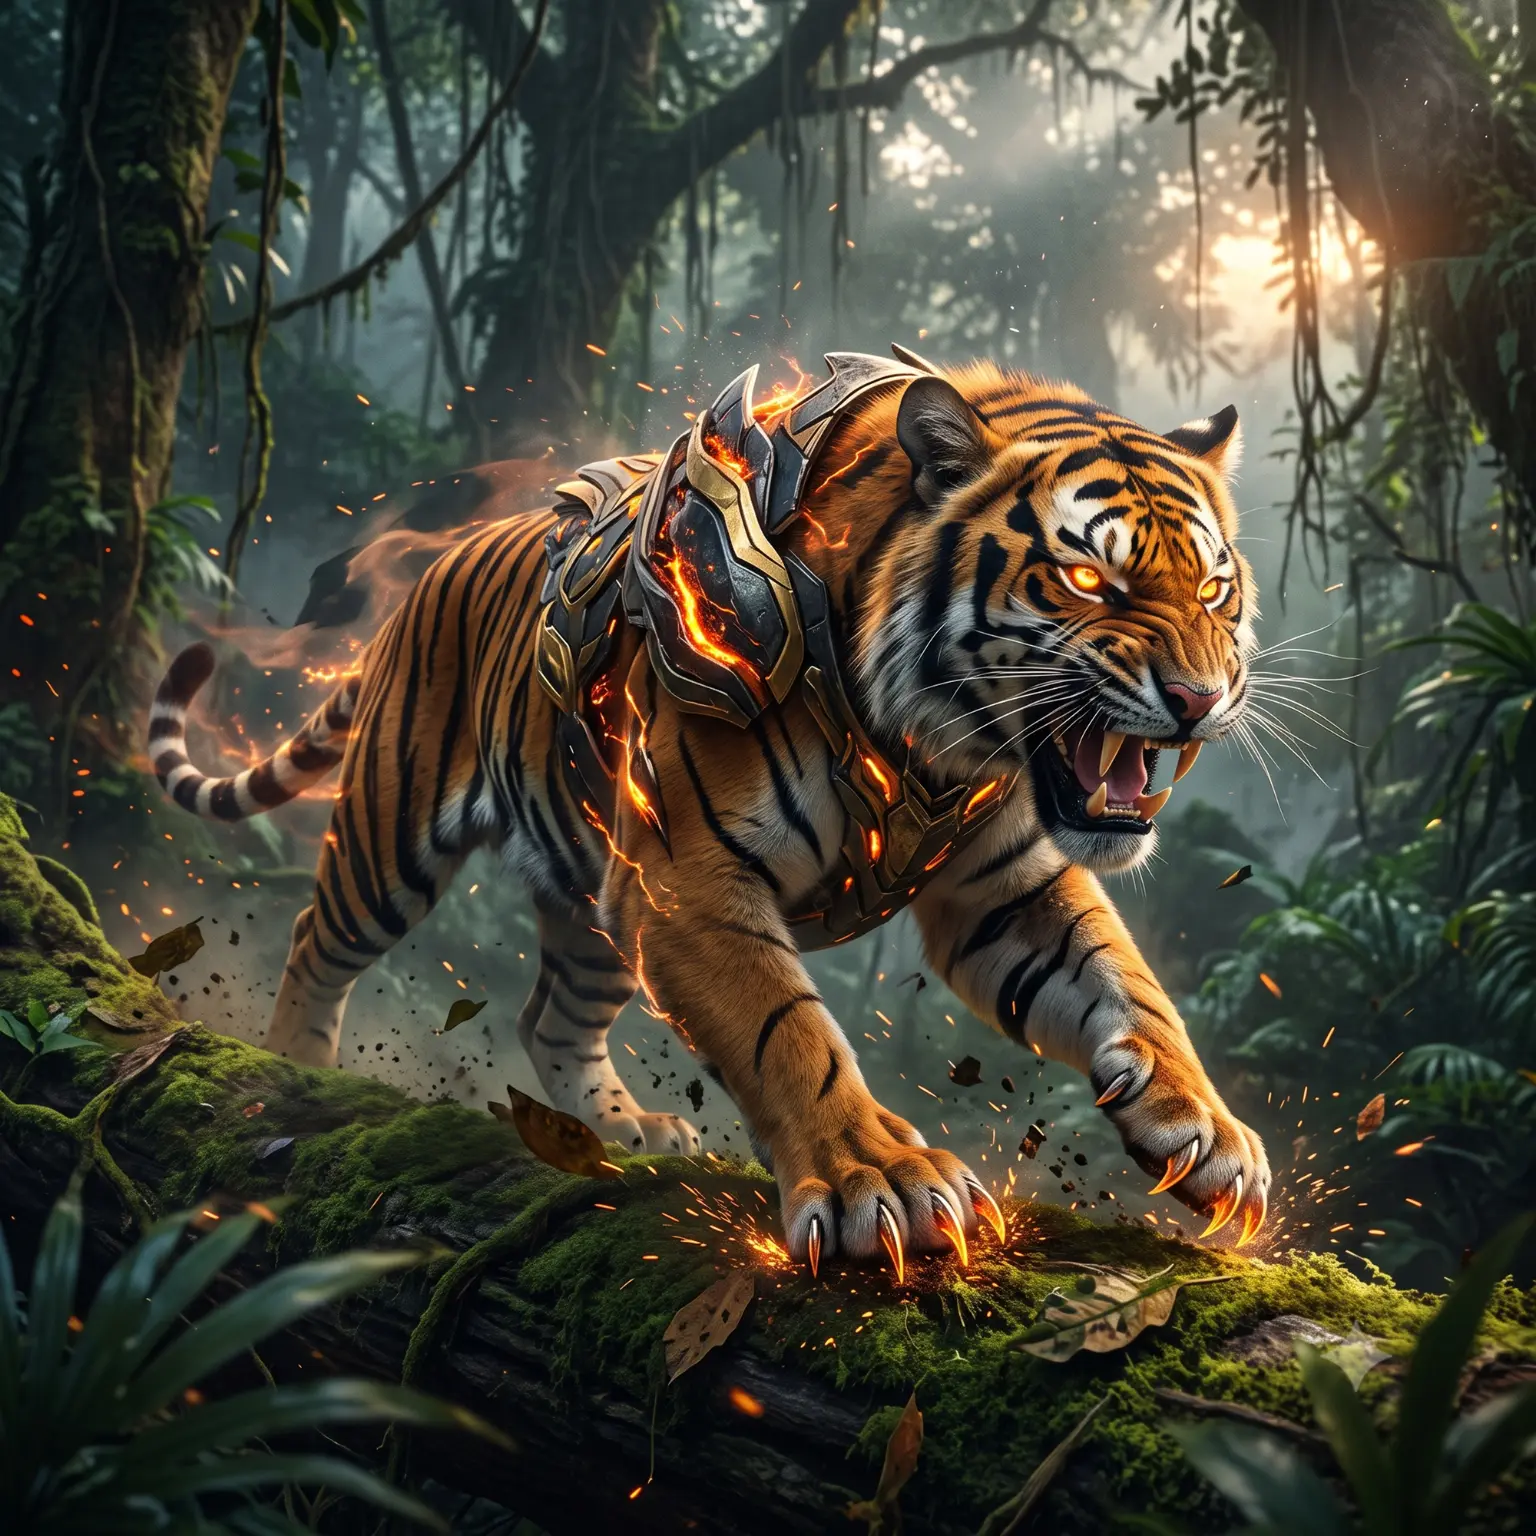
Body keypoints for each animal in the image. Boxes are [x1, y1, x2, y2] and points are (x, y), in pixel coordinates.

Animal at [148, 349, 1272, 1276]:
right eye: (1087, 577)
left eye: (1215, 590)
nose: (1201, 698)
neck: (932, 744)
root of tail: (443, 559)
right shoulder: (690, 882)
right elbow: (789, 1032)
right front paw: (881, 1181)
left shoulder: (1003, 887)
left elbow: (1126, 984)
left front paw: (1206, 1133)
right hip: (395, 833)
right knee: (316, 939)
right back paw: (295, 1065)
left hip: (593, 900)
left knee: (548, 1015)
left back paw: (624, 1131)